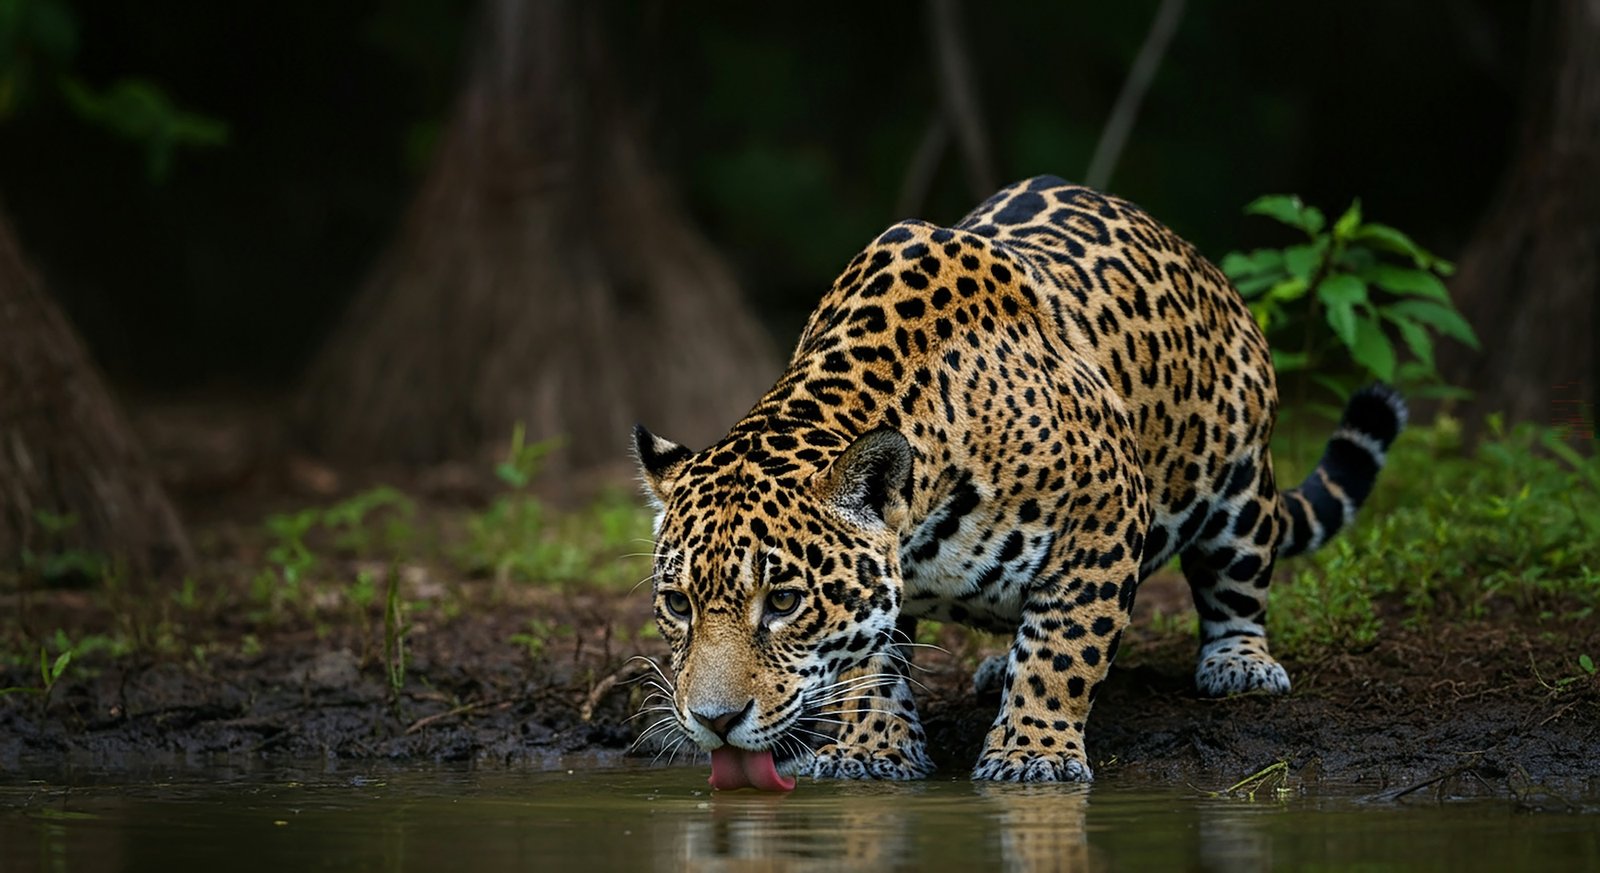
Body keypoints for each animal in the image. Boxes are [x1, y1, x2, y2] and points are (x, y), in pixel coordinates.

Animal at [632, 176, 1406, 785]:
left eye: (785, 601)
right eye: (676, 604)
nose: (715, 720)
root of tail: (1199, 262)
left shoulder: (1105, 521)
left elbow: (1066, 650)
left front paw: (1033, 753)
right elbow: (867, 660)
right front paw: (871, 748)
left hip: (1239, 479)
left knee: (1236, 581)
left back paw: (1240, 663)